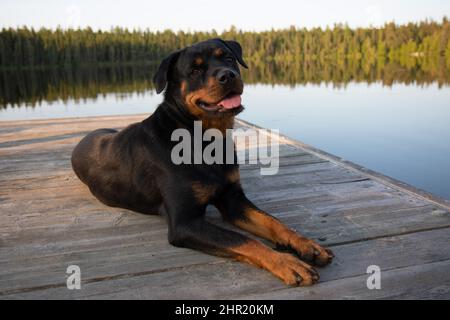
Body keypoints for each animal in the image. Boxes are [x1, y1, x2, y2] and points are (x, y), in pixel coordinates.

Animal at [71, 37, 334, 284]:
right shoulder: (185, 222)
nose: (227, 75)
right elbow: (244, 240)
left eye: (228, 58)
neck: (205, 140)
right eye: (195, 70)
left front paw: (306, 244)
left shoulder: (233, 200)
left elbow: (274, 223)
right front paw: (287, 262)